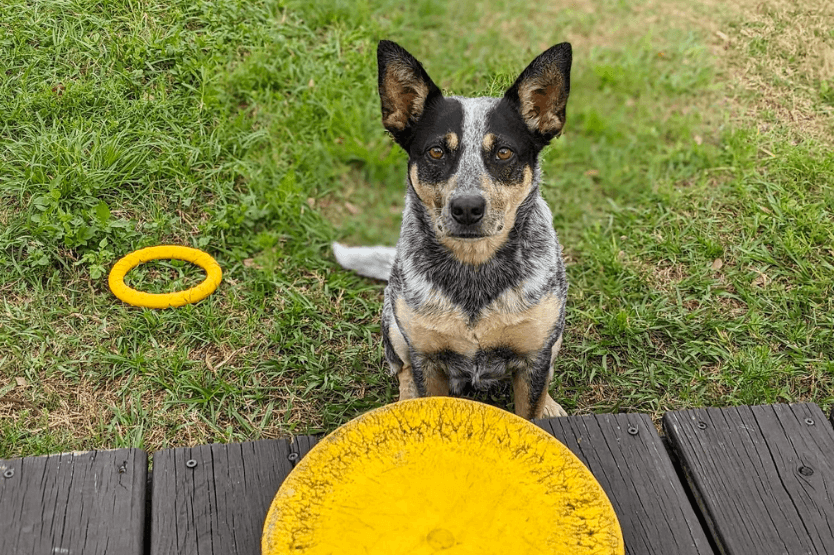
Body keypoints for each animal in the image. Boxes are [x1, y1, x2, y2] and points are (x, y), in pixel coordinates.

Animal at [332, 39, 572, 420]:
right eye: (436, 151)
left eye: (504, 152)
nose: (467, 208)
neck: (474, 269)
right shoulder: (427, 360)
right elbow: (419, 381)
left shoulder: (535, 357)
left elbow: (530, 407)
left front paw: (543, 409)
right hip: (394, 326)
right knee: (401, 370)